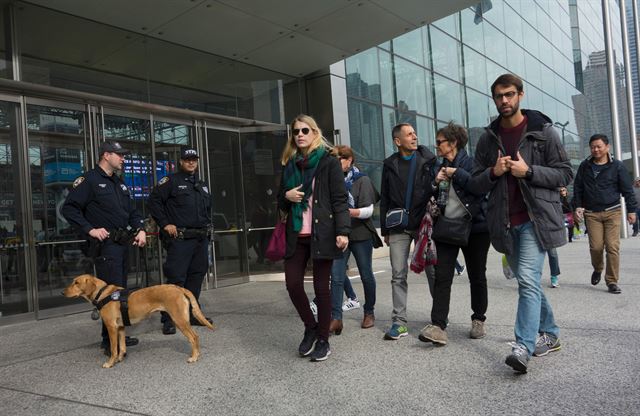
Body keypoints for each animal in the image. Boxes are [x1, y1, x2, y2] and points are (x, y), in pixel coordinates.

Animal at [63, 276, 216, 368]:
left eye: (76, 283)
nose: (62, 293)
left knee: (194, 337)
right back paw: (197, 354)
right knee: (195, 337)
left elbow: (113, 348)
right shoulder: (120, 328)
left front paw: (110, 362)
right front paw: (120, 358)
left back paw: (194, 357)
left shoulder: (111, 327)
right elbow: (122, 347)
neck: (103, 294)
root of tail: (178, 287)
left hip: (179, 320)